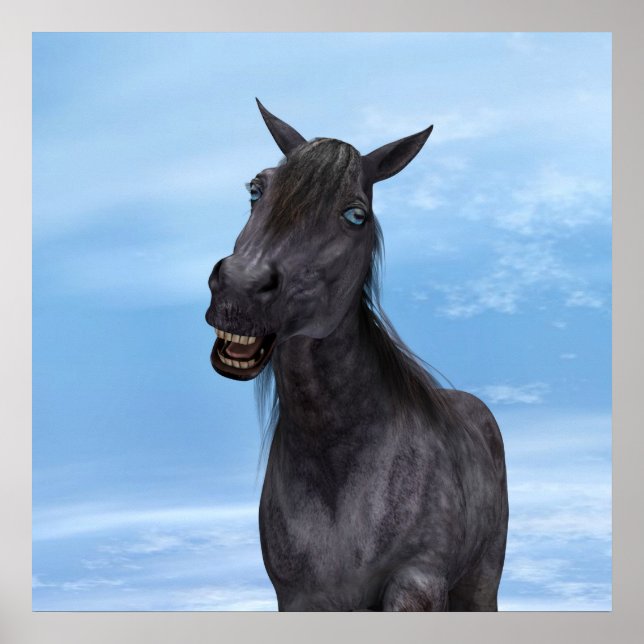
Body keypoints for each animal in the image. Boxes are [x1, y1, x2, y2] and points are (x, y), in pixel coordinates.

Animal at [205, 99, 508, 611]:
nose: (239, 290)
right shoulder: (299, 598)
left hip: (480, 582)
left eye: (355, 216)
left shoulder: (416, 583)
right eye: (255, 189)